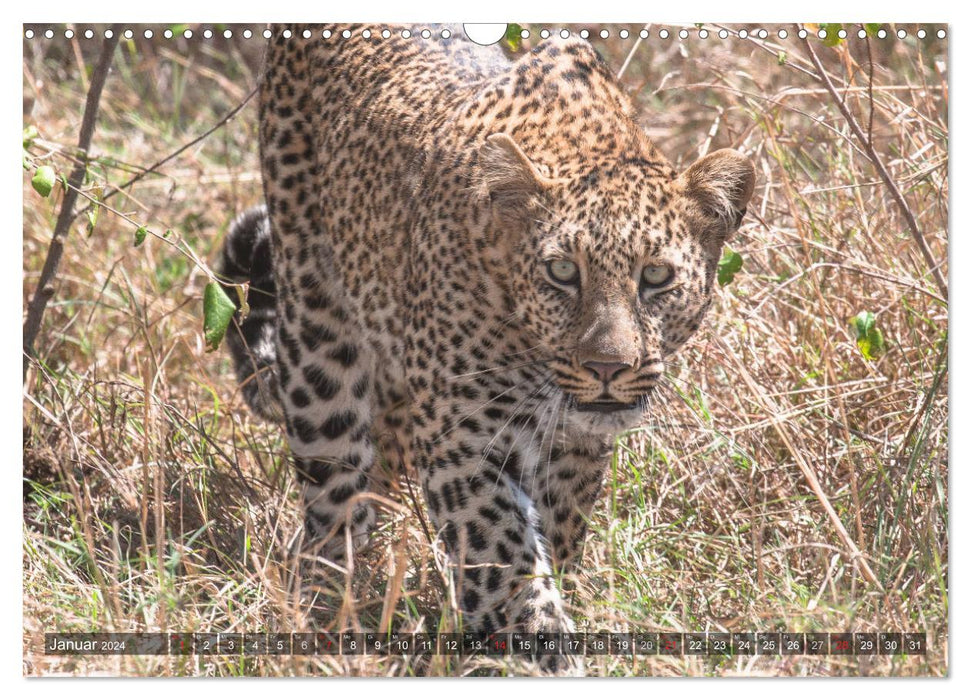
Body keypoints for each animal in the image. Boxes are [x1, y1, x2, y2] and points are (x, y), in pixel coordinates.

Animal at [216, 23, 756, 672]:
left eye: (655, 277)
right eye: (561, 272)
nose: (607, 367)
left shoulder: (575, 449)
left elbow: (556, 535)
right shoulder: (466, 438)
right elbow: (506, 560)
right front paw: (543, 655)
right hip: (318, 330)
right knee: (334, 494)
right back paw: (326, 611)